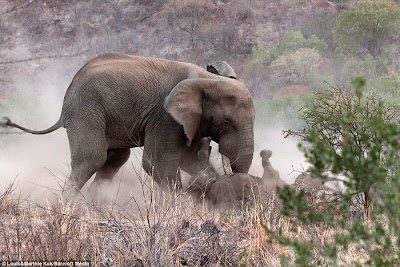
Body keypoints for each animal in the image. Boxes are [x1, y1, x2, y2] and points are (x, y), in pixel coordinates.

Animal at [1, 54, 255, 197]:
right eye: (225, 122)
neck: (208, 79)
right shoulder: (164, 116)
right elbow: (157, 162)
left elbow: (188, 160)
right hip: (86, 110)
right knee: (91, 158)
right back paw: (68, 207)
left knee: (114, 159)